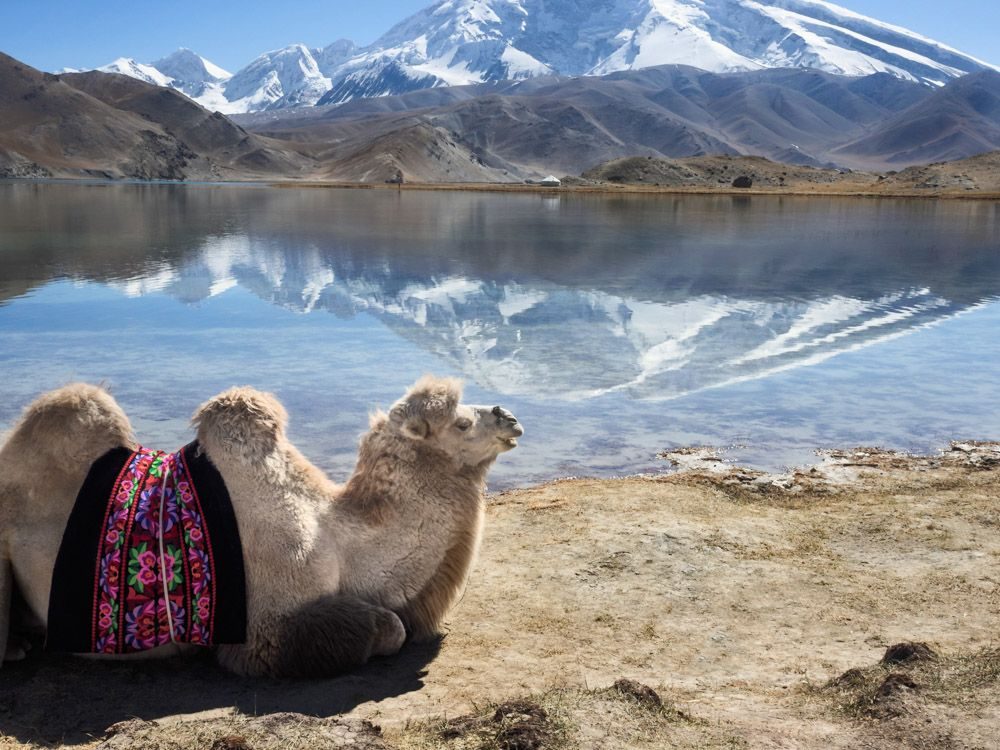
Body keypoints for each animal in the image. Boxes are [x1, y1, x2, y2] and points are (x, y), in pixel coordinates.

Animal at [0, 376, 522, 677]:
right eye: (459, 423)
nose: (510, 416)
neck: (338, 542)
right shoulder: (264, 629)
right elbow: (390, 628)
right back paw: (19, 648)